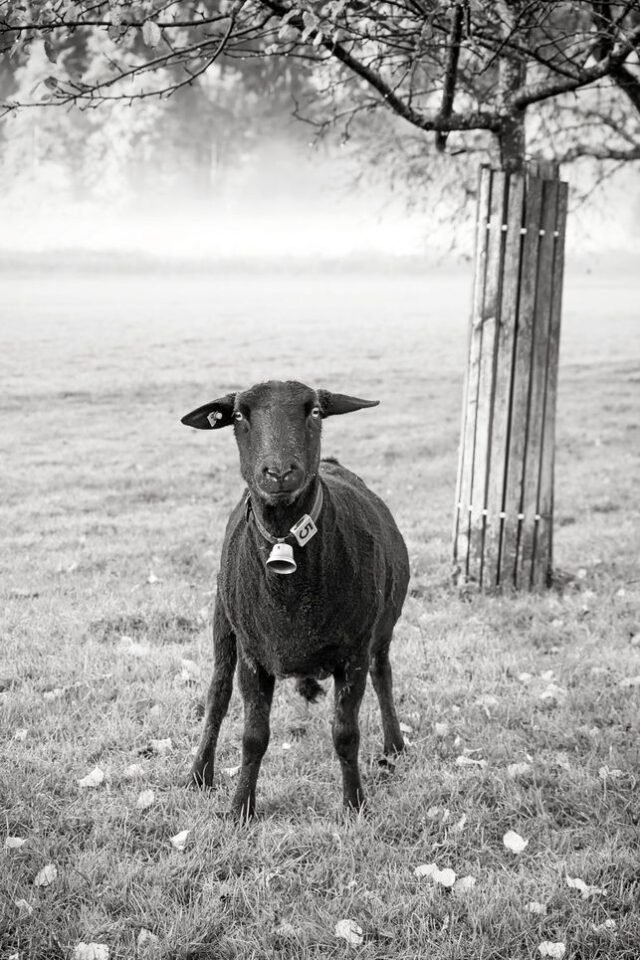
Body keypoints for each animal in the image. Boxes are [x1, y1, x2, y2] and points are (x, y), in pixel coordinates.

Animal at [181, 379, 409, 819]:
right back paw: (199, 774)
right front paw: (240, 810)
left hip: (382, 629)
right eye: (239, 415)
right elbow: (253, 736)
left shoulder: (354, 651)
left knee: (383, 676)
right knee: (216, 696)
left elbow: (346, 733)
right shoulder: (253, 655)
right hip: (223, 620)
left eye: (316, 412)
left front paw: (354, 804)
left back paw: (394, 746)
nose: (280, 472)